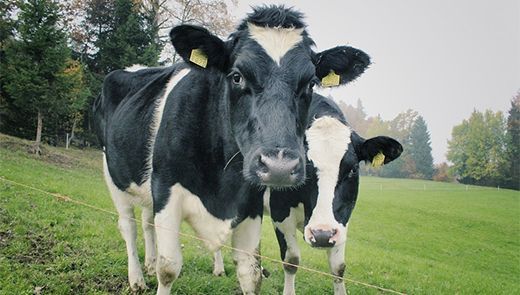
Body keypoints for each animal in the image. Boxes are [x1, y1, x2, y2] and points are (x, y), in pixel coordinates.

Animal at [92, 5, 370, 295]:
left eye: (310, 83)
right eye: (237, 76)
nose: (279, 167)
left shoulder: (256, 207)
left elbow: (254, 273)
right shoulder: (167, 192)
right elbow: (168, 269)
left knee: (147, 220)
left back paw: (153, 264)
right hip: (113, 173)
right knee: (129, 225)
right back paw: (137, 277)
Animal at [213, 94, 404, 294]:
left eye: (353, 169)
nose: (322, 235)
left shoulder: (342, 220)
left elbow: (338, 267)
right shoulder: (280, 214)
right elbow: (291, 261)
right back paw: (219, 269)